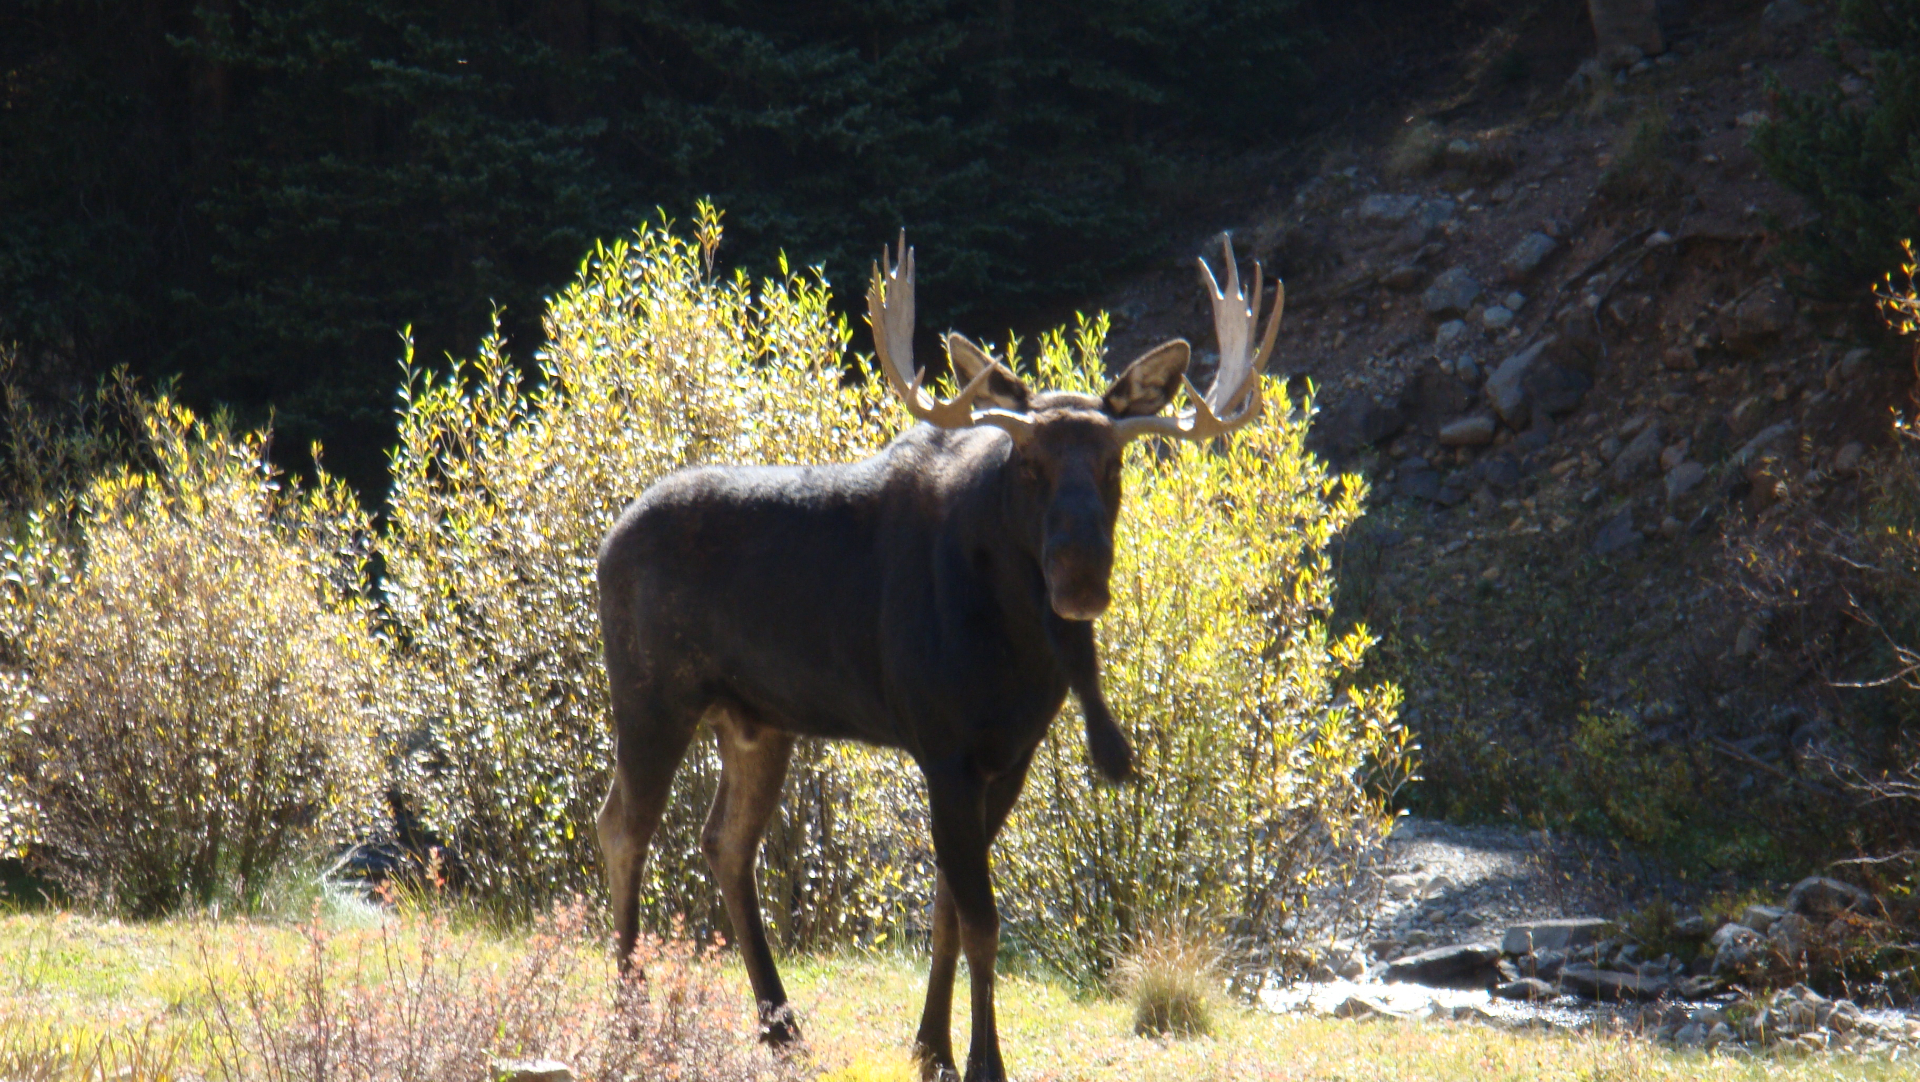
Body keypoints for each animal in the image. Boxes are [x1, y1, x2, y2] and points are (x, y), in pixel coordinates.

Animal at [595, 232, 1281, 1081]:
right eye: (1029, 464)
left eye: (1115, 465)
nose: (1081, 577)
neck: (1020, 651)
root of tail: (604, 546)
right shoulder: (943, 747)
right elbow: (982, 918)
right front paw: (985, 1060)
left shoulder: (1009, 755)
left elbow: (950, 906)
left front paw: (931, 1045)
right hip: (651, 695)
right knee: (624, 827)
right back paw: (629, 1015)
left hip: (757, 721)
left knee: (725, 843)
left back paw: (780, 1024)